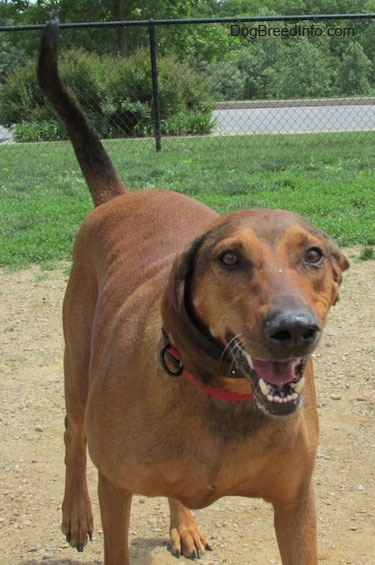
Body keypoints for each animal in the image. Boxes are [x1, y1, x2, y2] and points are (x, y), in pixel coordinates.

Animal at [37, 17, 350, 564]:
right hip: (77, 367)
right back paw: (75, 514)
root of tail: (118, 198)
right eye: (229, 258)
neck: (223, 393)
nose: (294, 330)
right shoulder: (115, 486)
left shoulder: (296, 504)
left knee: (173, 488)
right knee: (72, 432)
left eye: (313, 255)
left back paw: (183, 524)